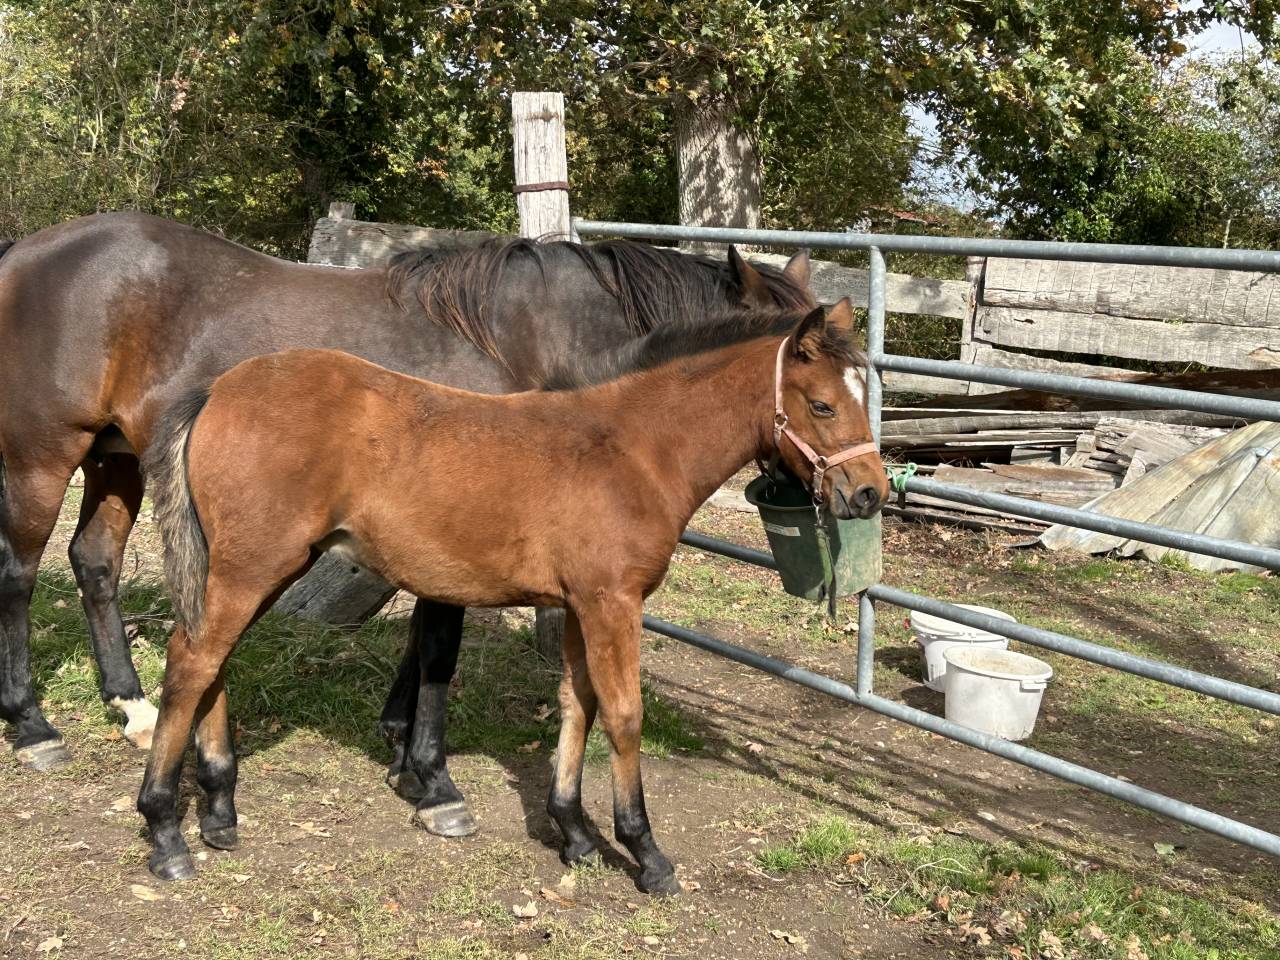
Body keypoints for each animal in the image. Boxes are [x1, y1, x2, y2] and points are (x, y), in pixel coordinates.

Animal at [0, 212, 813, 775]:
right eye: (806, 371)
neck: (544, 335)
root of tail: (26, 253)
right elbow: (436, 638)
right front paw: (421, 758)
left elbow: (428, 627)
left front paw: (397, 731)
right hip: (41, 457)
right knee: (20, 573)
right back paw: (33, 726)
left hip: (117, 459)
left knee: (94, 561)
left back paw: (132, 706)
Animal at [138, 298, 887, 891]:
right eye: (822, 404)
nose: (871, 493)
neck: (630, 449)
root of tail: (216, 390)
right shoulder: (613, 602)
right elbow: (623, 715)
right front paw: (644, 852)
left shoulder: (581, 604)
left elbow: (577, 702)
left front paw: (574, 833)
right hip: (254, 566)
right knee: (191, 663)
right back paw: (164, 830)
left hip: (253, 568)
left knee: (211, 662)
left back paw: (218, 812)